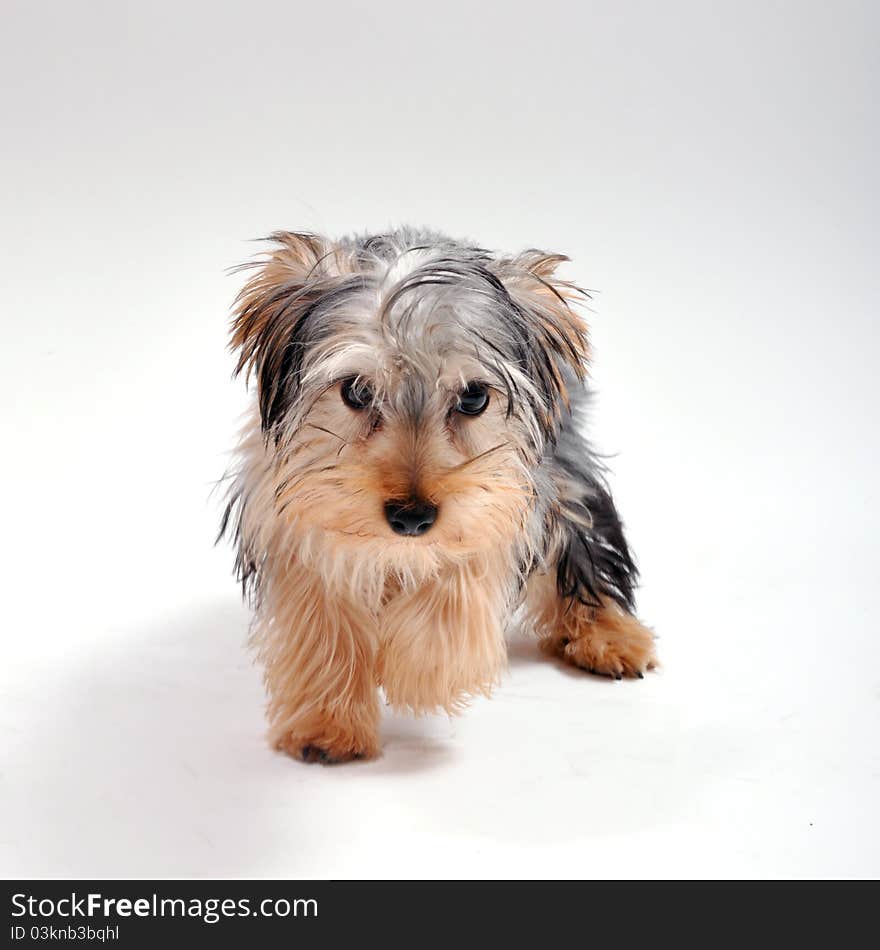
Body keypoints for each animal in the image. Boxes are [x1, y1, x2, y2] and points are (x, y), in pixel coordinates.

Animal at [223, 231, 656, 768]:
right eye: (356, 391)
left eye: (473, 397)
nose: (412, 517)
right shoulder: (294, 503)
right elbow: (322, 609)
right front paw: (327, 723)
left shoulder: (505, 488)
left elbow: (464, 564)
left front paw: (422, 671)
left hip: (563, 462)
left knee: (582, 531)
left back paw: (608, 635)